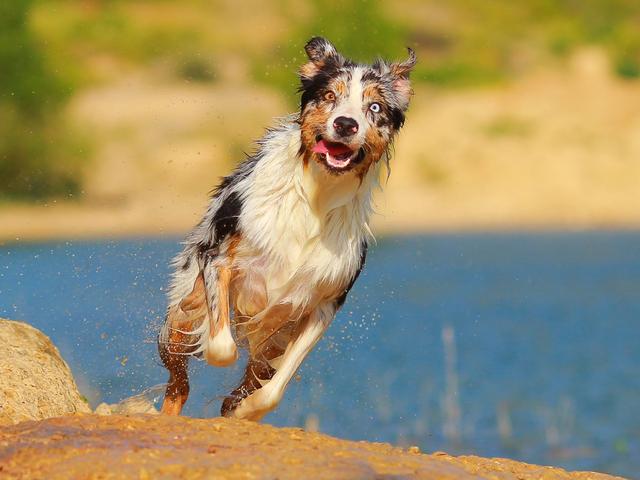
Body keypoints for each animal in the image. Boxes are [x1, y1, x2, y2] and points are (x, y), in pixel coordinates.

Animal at [159, 37, 416, 420]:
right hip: (181, 312)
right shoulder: (219, 260)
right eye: (329, 95)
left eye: (374, 107)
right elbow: (222, 347)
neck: (316, 198)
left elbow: (271, 391)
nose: (345, 124)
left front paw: (242, 408)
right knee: (178, 379)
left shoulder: (320, 306)